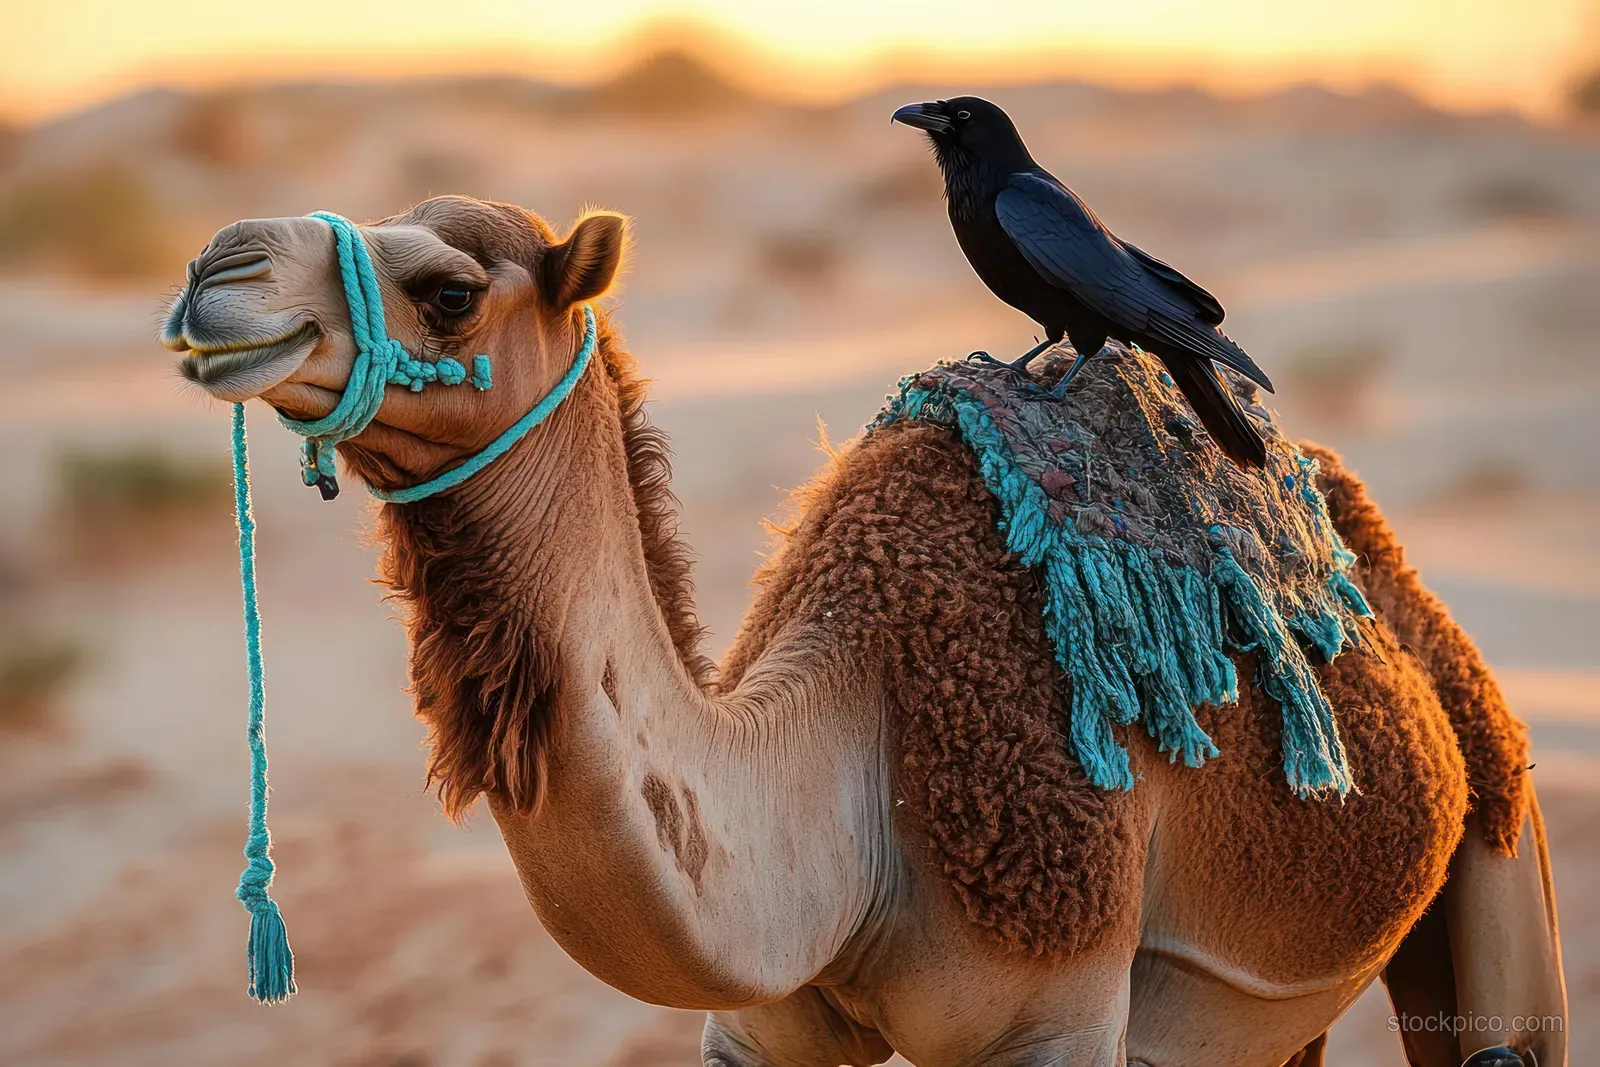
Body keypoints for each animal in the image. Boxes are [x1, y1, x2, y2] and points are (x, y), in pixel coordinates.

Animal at [163, 196, 1566, 1066]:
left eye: (448, 290)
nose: (214, 267)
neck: (853, 761)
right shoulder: (762, 1023)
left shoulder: (1058, 1009)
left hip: (1499, 836)